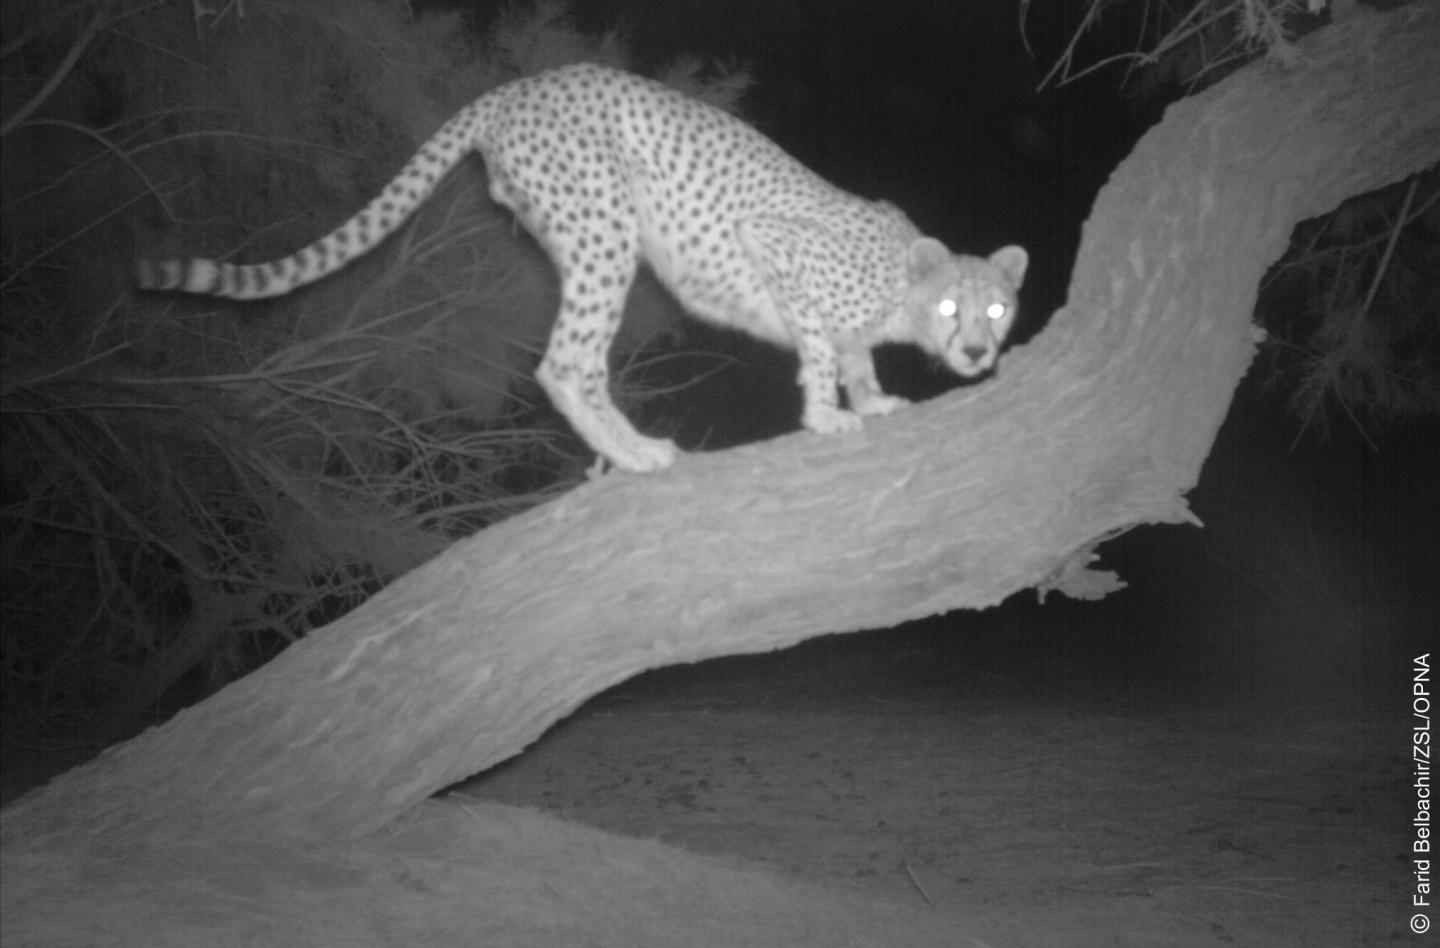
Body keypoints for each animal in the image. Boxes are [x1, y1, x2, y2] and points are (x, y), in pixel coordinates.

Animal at [136, 63, 1028, 473]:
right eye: (954, 311)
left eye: (996, 311)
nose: (977, 352)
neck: (904, 282)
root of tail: (520, 85)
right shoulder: (778, 248)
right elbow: (817, 348)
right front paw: (828, 413)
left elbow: (855, 354)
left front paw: (871, 399)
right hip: (606, 230)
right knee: (566, 362)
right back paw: (634, 453)